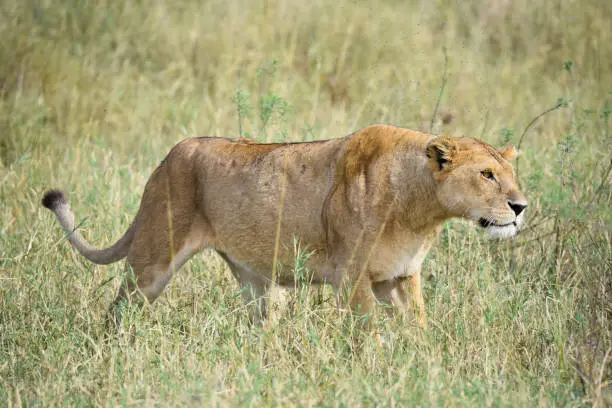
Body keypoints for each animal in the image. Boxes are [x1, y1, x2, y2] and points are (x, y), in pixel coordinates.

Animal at [41, 124, 524, 328]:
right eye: (487, 175)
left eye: (512, 174)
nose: (520, 206)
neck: (420, 210)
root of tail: (167, 157)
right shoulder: (352, 278)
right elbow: (369, 336)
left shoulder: (401, 277)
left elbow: (418, 332)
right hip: (153, 261)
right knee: (119, 310)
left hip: (255, 281)